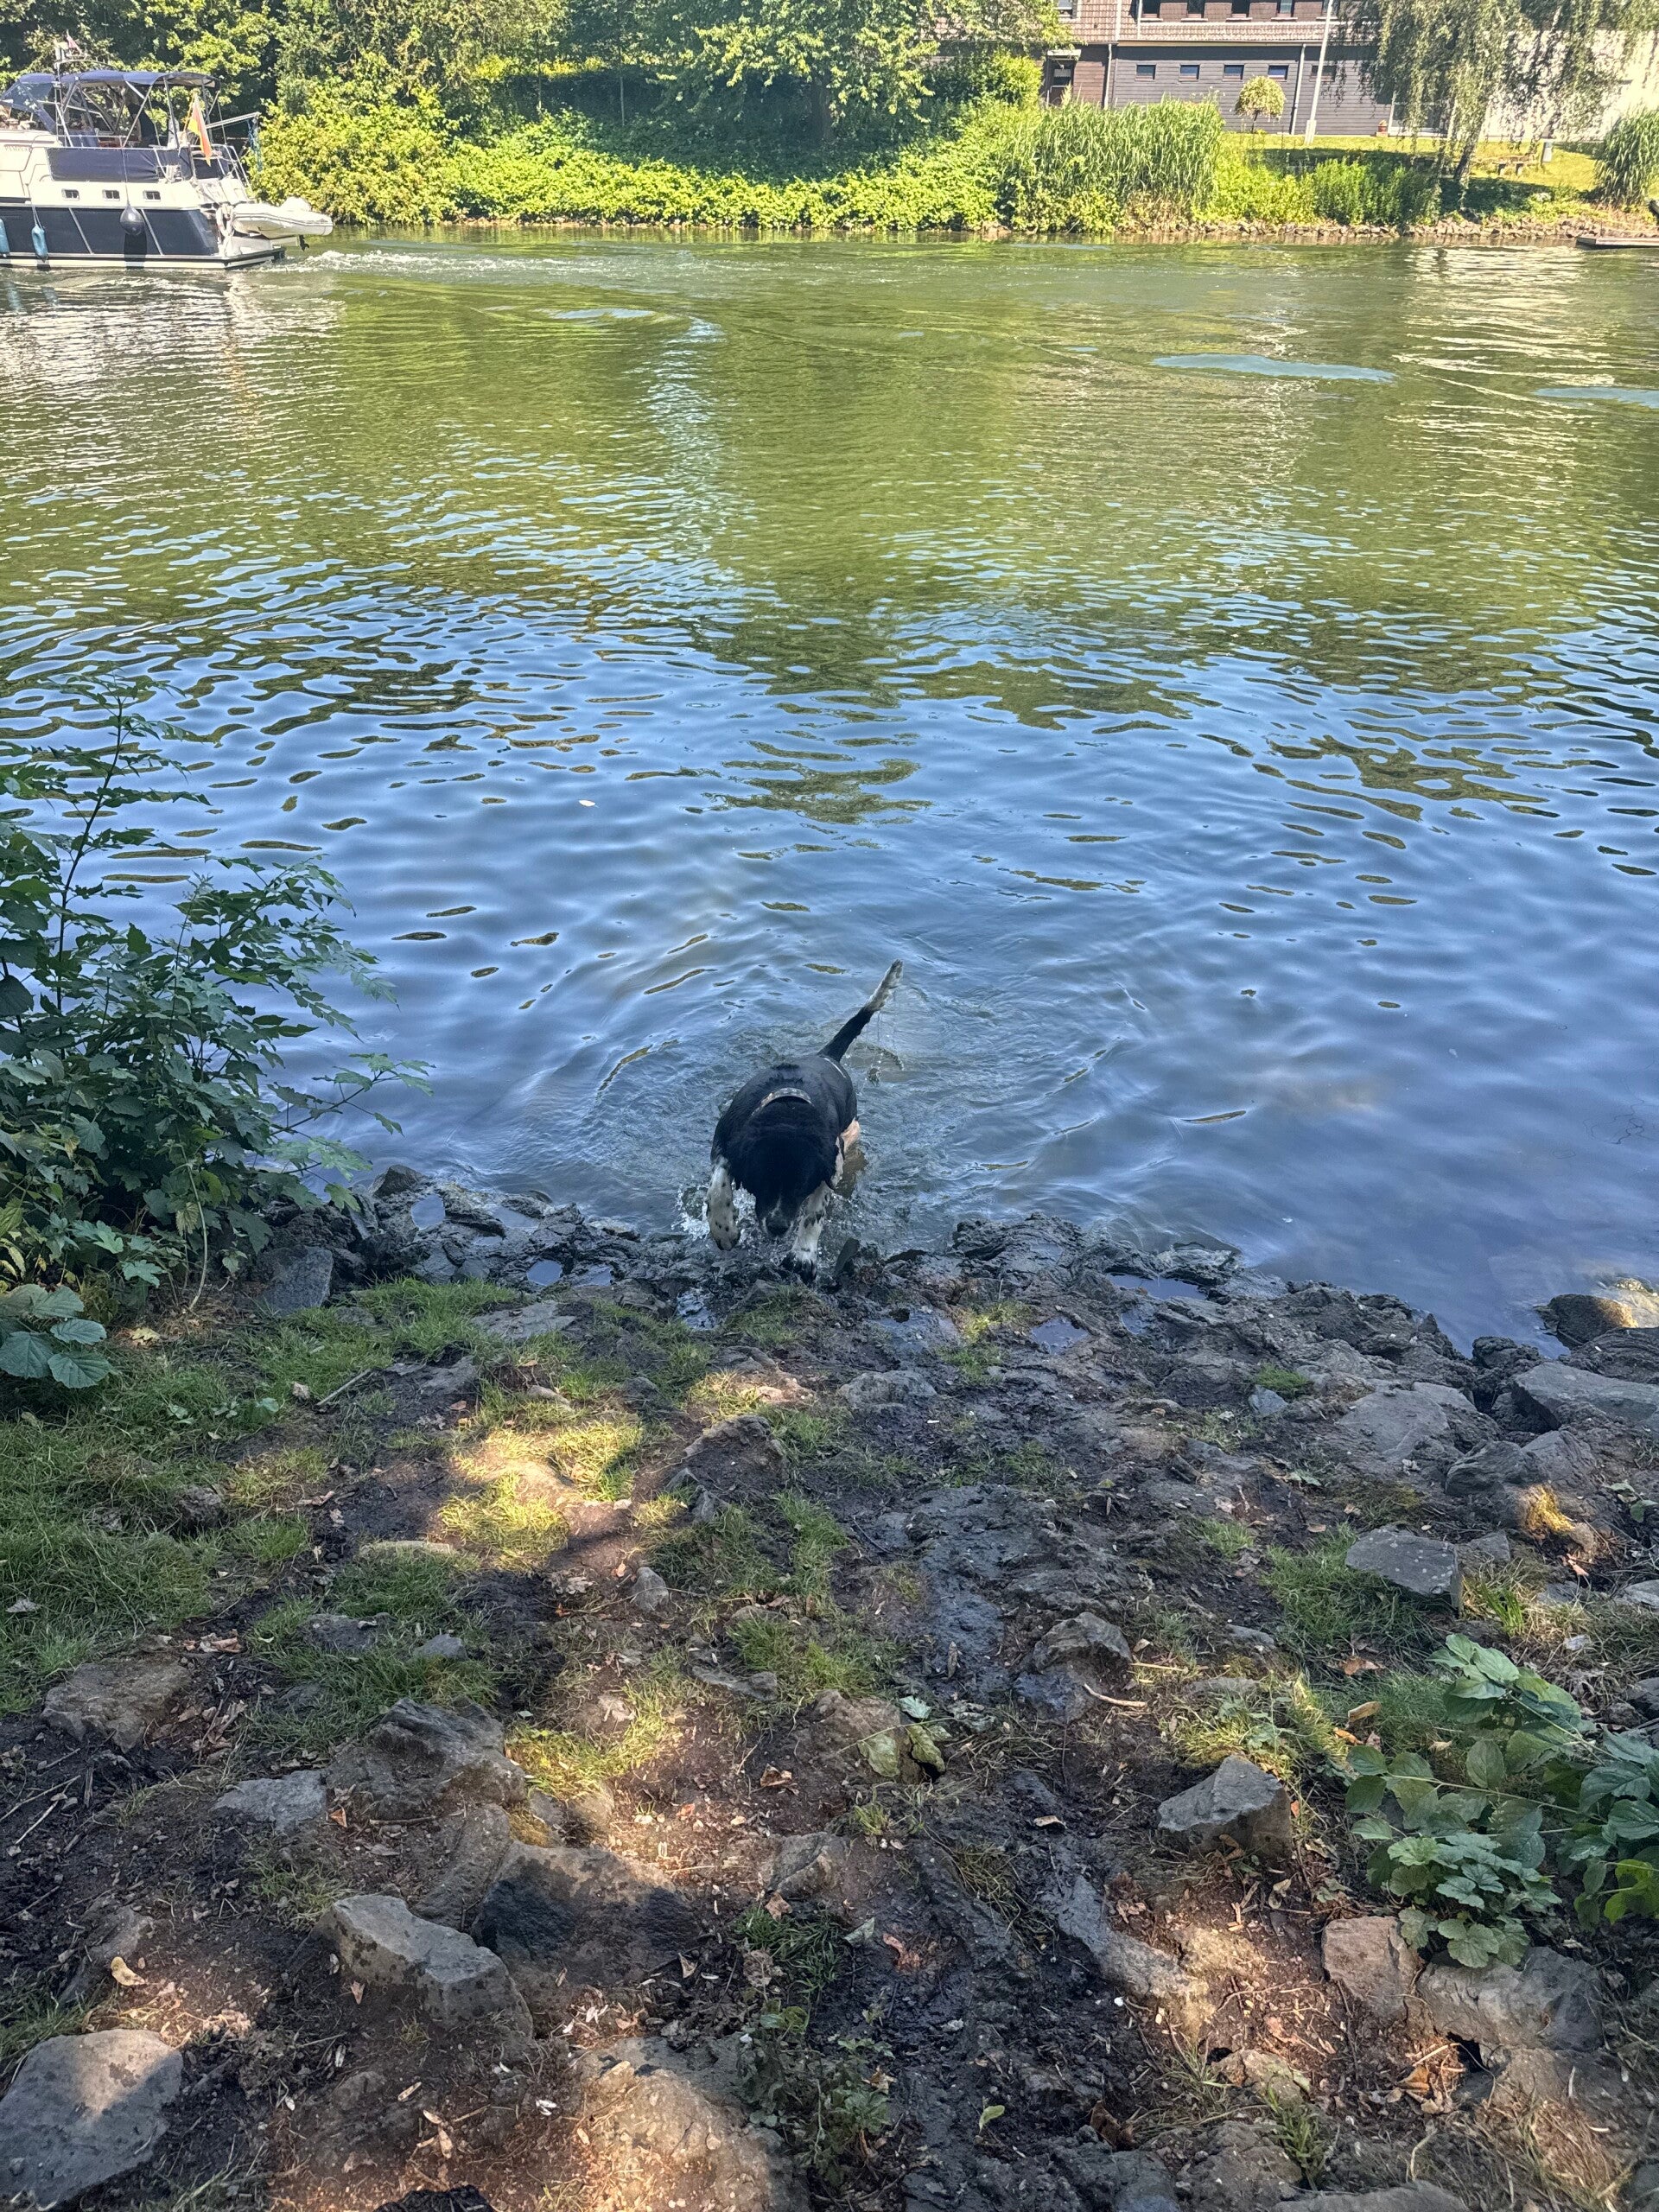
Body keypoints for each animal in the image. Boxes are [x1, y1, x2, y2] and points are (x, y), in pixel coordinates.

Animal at [707, 961, 901, 1270]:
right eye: (762, 1179)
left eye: (799, 1185)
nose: (777, 1227)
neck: (789, 1110)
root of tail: (826, 1055)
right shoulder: (727, 1139)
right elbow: (717, 1186)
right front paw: (724, 1230)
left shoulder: (831, 1161)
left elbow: (814, 1212)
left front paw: (803, 1255)